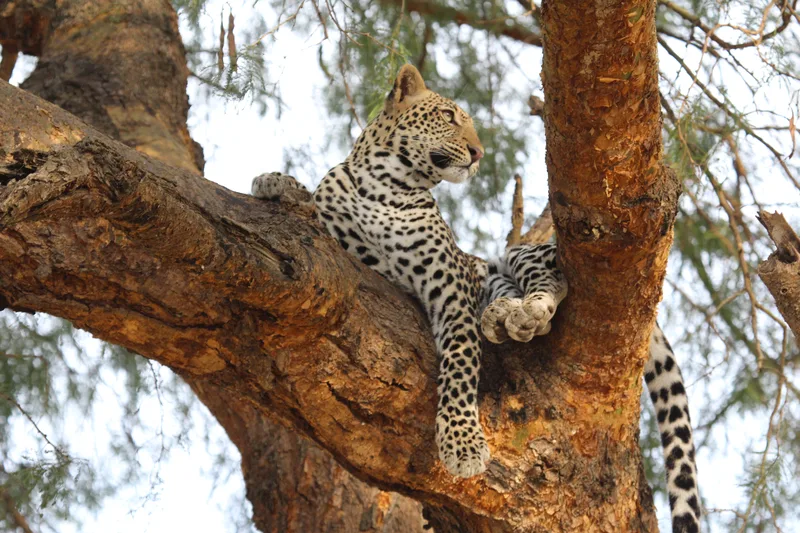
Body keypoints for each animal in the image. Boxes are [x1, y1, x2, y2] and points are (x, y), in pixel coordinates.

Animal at [252, 64, 701, 533]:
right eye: (449, 116)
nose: (478, 152)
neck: (384, 185)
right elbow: (314, 206)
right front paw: (276, 183)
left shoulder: (449, 285)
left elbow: (461, 362)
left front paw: (462, 444)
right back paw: (500, 314)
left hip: (522, 254)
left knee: (548, 281)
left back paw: (524, 314)